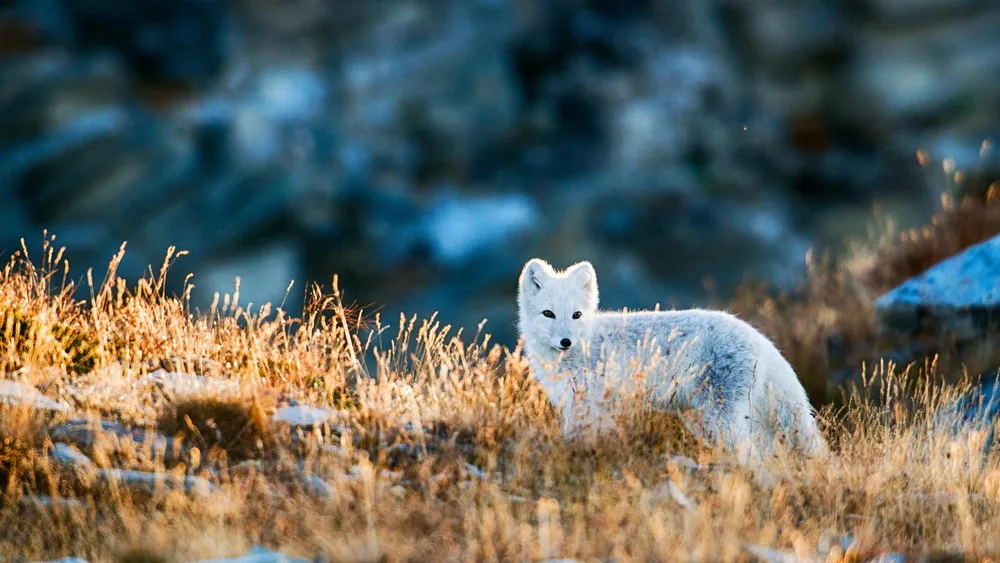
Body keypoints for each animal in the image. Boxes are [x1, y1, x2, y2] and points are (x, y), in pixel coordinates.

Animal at [516, 258, 827, 464]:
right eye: (548, 314)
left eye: (576, 315)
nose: (566, 341)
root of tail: (759, 337)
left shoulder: (584, 403)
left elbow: (574, 438)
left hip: (720, 419)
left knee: (752, 457)